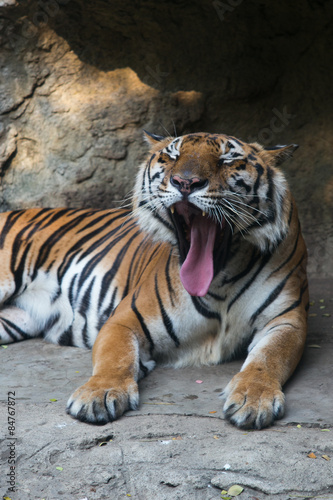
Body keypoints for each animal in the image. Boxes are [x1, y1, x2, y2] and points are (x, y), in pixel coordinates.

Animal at [0, 132, 308, 430]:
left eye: (227, 159)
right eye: (172, 156)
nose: (186, 182)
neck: (222, 278)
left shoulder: (286, 321)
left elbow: (268, 359)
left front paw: (254, 399)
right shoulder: (124, 320)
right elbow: (116, 358)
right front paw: (98, 394)